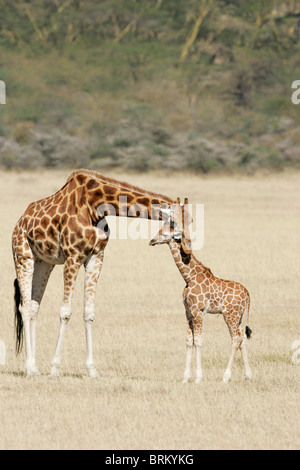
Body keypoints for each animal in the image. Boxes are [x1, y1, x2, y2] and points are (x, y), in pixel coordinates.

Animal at [12, 169, 178, 378]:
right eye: (178, 220)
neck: (95, 206)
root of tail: (19, 222)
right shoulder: (73, 256)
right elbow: (65, 312)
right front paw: (55, 368)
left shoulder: (96, 257)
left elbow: (89, 312)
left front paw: (92, 369)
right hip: (23, 256)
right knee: (25, 308)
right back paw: (30, 369)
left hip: (44, 263)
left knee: (34, 306)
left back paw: (34, 368)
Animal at [149, 196, 252, 384]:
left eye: (168, 229)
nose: (152, 240)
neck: (188, 277)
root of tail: (248, 294)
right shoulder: (188, 311)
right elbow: (189, 340)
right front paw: (185, 377)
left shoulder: (198, 311)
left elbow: (198, 340)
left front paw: (198, 377)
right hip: (240, 317)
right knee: (242, 338)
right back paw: (248, 374)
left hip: (230, 315)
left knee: (235, 338)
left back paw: (226, 376)